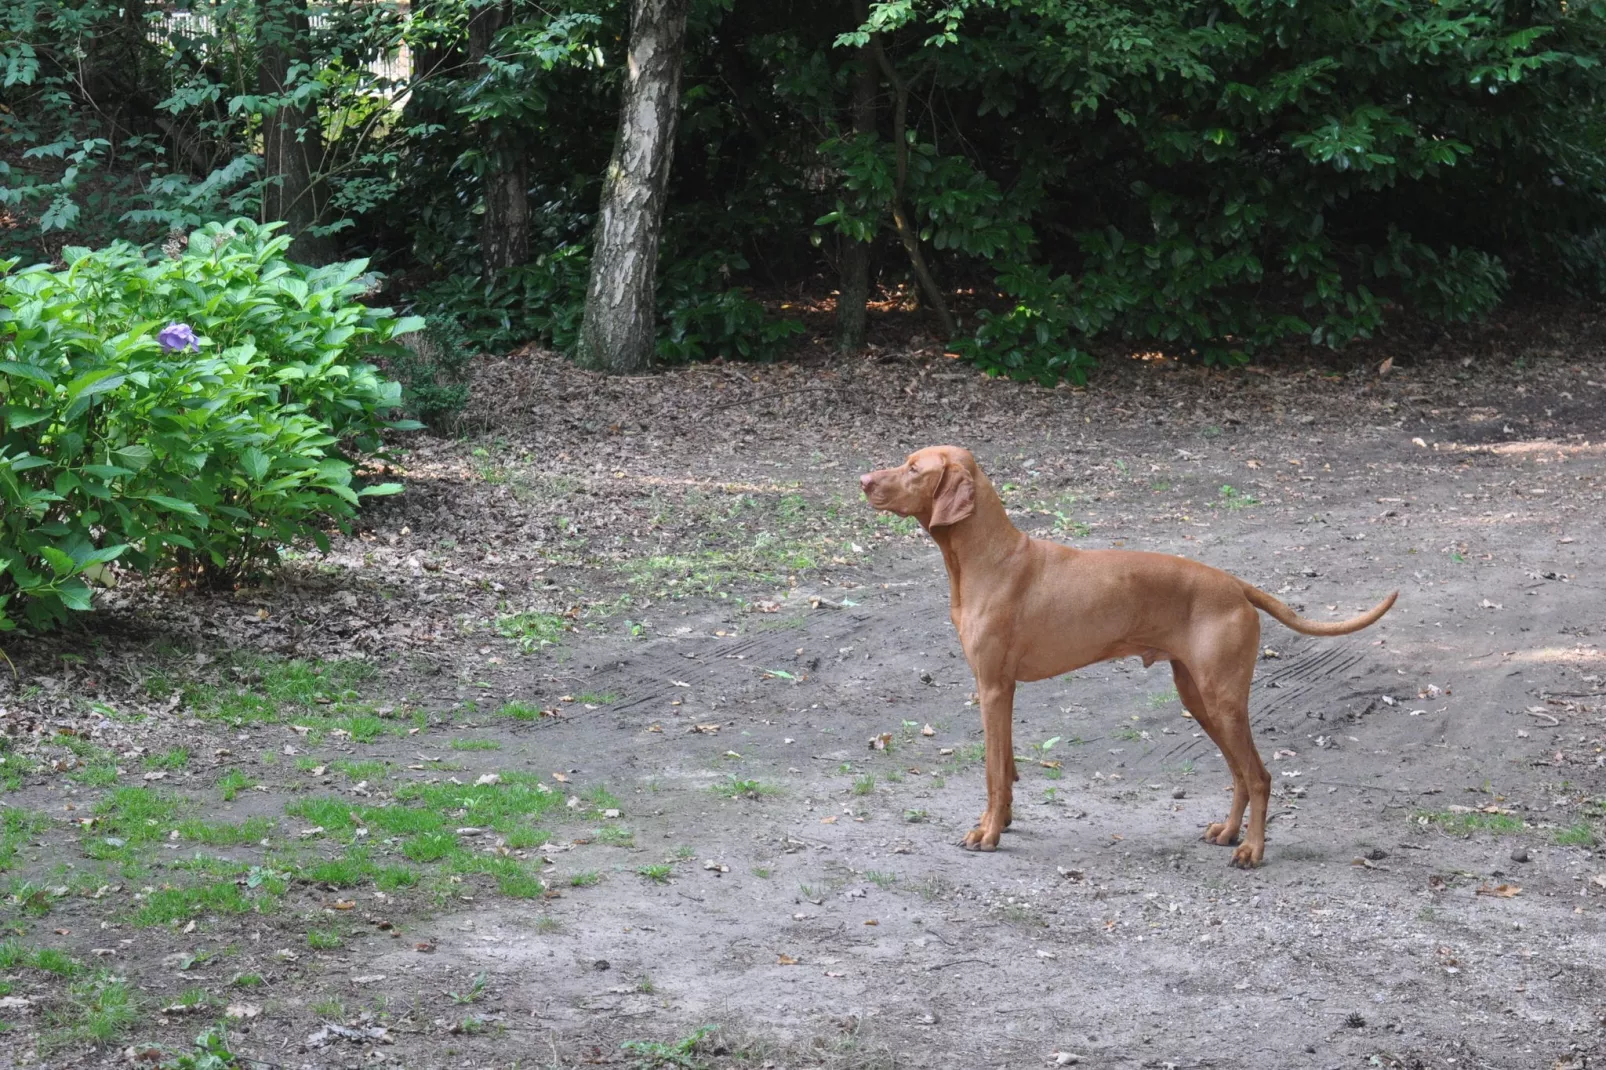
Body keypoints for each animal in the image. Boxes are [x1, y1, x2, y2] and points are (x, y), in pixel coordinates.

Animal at [860, 443, 1400, 867]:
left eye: (914, 468)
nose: (863, 480)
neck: (989, 557)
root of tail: (1235, 586)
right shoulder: (1002, 690)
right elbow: (1007, 767)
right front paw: (1002, 821)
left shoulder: (992, 687)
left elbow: (993, 771)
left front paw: (988, 833)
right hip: (1198, 698)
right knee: (1240, 774)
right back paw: (1229, 834)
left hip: (1222, 700)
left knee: (1260, 775)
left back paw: (1252, 850)